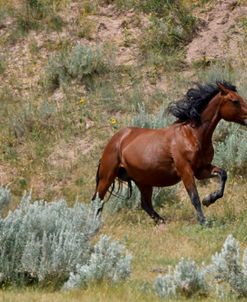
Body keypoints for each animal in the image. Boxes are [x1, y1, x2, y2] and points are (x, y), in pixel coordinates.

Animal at [92, 81, 247, 225]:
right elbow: (194, 197)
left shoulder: (201, 169)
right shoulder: (186, 171)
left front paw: (209, 200)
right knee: (97, 200)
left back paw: (161, 222)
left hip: (143, 181)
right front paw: (204, 221)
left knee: (145, 204)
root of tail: (116, 139)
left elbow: (223, 175)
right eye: (235, 101)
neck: (192, 134)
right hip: (107, 176)